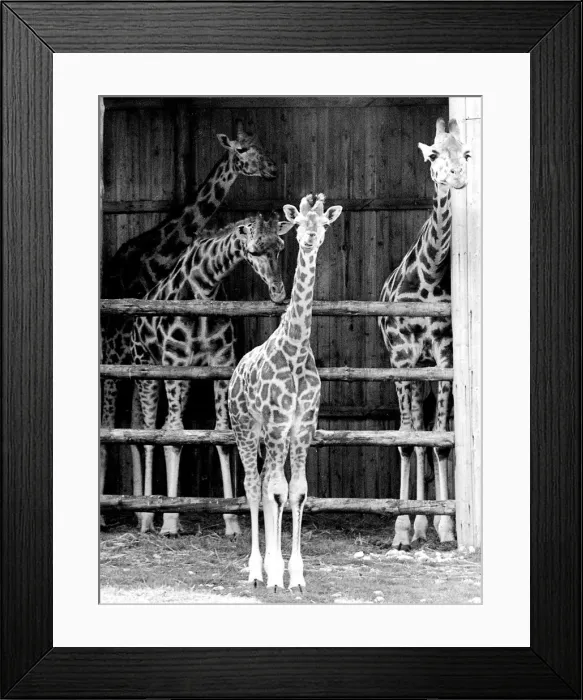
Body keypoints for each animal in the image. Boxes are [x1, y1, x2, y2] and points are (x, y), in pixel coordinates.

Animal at [100, 120, 277, 526]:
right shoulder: (157, 361)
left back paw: (140, 509)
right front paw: (164, 516)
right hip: (118, 361)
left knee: (138, 427)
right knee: (120, 426)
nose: (272, 169)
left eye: (261, 144)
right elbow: (165, 431)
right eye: (241, 151)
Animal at [131, 213, 294, 536]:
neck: (204, 287)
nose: (279, 293)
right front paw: (170, 521)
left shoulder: (220, 363)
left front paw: (231, 521)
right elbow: (174, 435)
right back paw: (147, 517)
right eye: (254, 250)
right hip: (147, 370)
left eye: (280, 246)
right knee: (149, 433)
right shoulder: (174, 362)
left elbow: (221, 434)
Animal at [228, 194, 342, 591]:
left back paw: (263, 568)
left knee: (264, 483)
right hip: (245, 428)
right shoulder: (279, 424)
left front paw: (296, 576)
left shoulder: (303, 426)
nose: (310, 238)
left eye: (324, 224)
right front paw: (277, 575)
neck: (295, 347)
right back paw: (254, 571)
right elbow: (276, 491)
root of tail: (234, 373)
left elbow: (297, 491)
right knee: (252, 484)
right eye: (298, 224)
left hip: (265, 434)